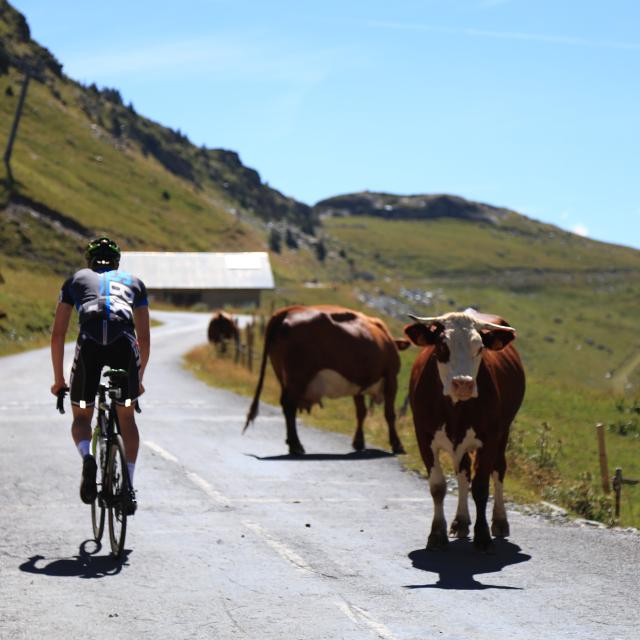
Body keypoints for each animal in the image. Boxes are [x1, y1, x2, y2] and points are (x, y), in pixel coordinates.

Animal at [242, 304, 412, 456]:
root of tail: (288, 310)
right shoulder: (391, 377)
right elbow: (389, 414)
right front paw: (397, 445)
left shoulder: (358, 385)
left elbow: (361, 412)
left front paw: (358, 442)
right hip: (298, 376)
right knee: (289, 406)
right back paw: (296, 445)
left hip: (283, 376)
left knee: (286, 405)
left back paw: (292, 444)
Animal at [404, 310, 524, 552]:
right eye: (442, 346)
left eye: (479, 348)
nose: (463, 384)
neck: (455, 407)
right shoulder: (424, 436)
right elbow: (438, 486)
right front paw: (437, 534)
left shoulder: (490, 437)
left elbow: (480, 487)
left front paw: (483, 536)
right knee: (463, 473)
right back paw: (460, 521)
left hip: (504, 432)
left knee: (498, 469)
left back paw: (500, 521)